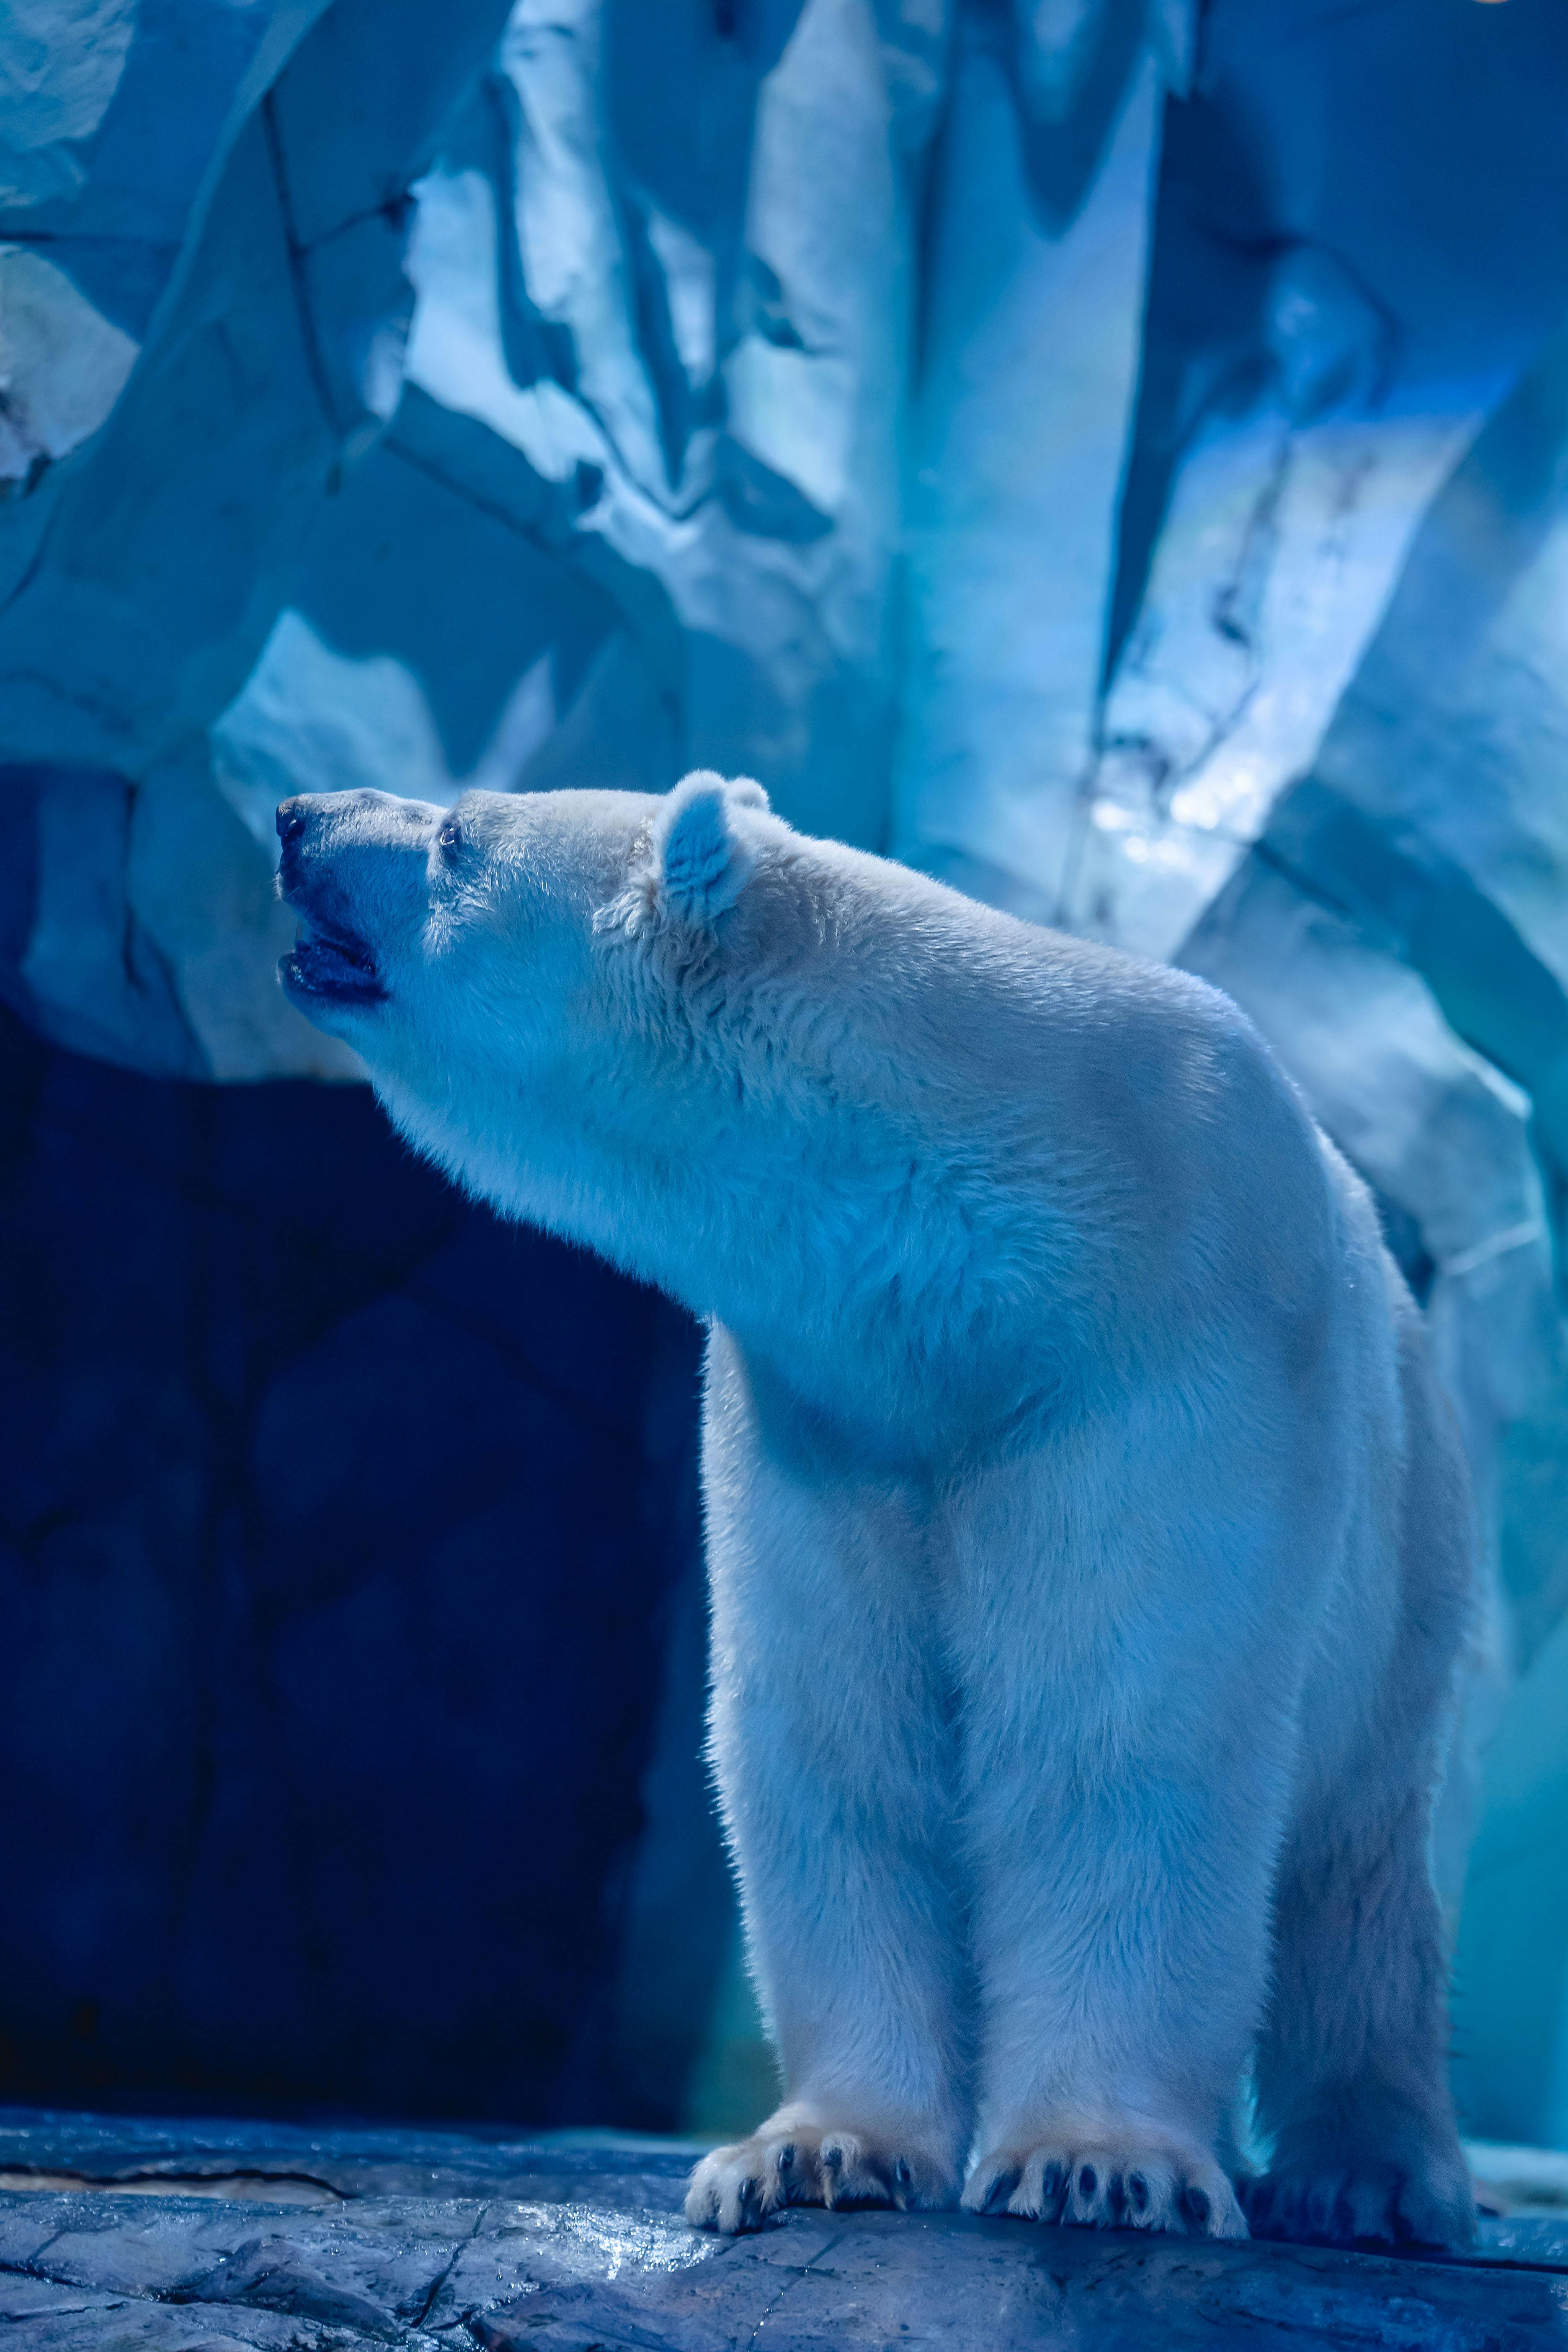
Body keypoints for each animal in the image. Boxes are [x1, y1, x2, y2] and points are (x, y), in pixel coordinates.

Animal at [276, 769, 1477, 2249]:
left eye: (458, 836)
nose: (295, 815)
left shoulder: (1166, 1366)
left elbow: (1117, 1742)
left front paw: (1092, 2163)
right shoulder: (827, 1411)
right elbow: (836, 1743)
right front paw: (810, 2153)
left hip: (1410, 1526)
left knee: (1359, 1859)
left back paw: (1369, 2177)